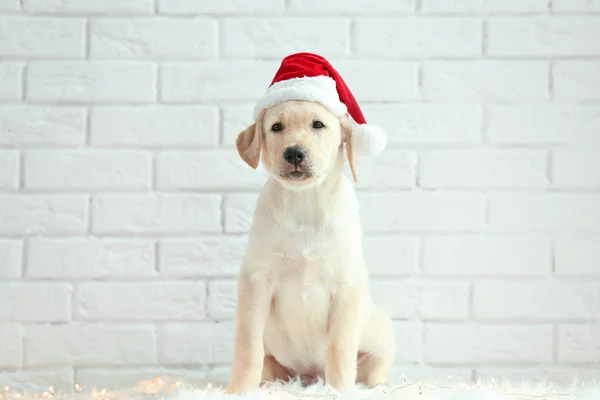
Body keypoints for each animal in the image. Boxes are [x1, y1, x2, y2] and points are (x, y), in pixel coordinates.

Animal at [223, 100, 396, 394]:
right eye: (276, 127)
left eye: (318, 125)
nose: (294, 153)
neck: (304, 201)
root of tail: (310, 376)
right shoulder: (256, 281)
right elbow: (248, 348)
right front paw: (239, 391)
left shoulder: (346, 286)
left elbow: (340, 349)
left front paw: (340, 391)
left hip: (382, 330)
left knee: (375, 368)